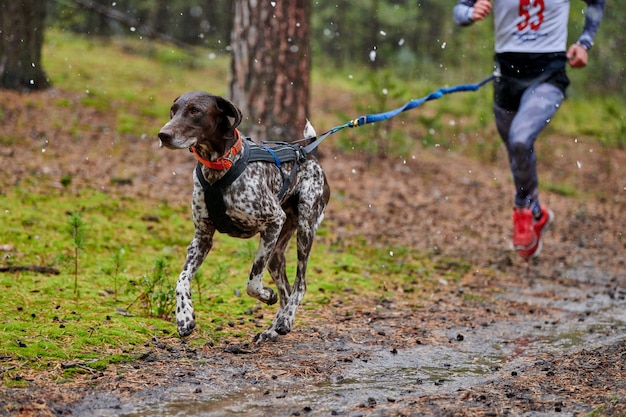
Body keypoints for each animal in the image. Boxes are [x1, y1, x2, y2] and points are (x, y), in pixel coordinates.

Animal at [158, 91, 330, 342]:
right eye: (173, 110)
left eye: (195, 111)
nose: (163, 134)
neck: (219, 167)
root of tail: (308, 153)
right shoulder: (202, 237)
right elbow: (181, 279)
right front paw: (184, 316)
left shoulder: (273, 220)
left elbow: (253, 282)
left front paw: (266, 295)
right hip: (276, 253)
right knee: (287, 291)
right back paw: (272, 329)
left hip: (305, 230)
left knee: (300, 284)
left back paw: (286, 319)